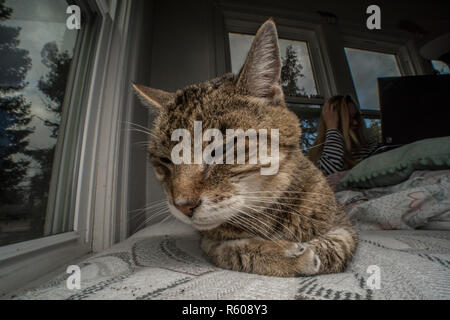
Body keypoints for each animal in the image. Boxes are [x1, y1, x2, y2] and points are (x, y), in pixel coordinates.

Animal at [132, 18, 356, 276]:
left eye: (219, 150)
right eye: (165, 160)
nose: (183, 207)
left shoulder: (343, 223)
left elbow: (334, 248)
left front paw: (307, 251)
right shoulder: (211, 243)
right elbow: (240, 253)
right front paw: (288, 255)